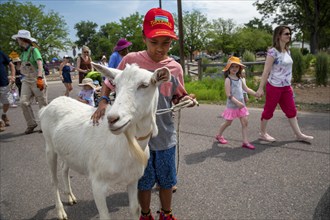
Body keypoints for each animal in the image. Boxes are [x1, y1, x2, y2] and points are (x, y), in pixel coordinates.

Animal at [39, 62, 170, 219]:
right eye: (115, 85)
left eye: (144, 85)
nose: (112, 119)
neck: (124, 146)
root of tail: (47, 107)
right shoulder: (97, 182)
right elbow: (105, 215)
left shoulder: (133, 179)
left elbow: (134, 209)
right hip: (49, 147)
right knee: (53, 180)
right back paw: (60, 211)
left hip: (66, 150)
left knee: (65, 168)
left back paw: (70, 197)